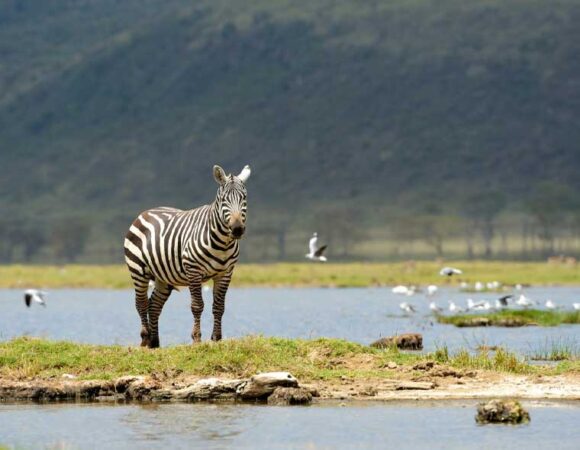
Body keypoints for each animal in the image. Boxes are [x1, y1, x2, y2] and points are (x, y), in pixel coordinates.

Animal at [124, 165, 251, 348]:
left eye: (244, 198)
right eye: (223, 200)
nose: (237, 229)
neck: (222, 244)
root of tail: (146, 212)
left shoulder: (225, 273)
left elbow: (219, 306)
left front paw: (216, 339)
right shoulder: (193, 270)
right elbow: (197, 305)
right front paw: (197, 339)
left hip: (163, 277)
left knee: (154, 305)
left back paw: (155, 343)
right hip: (138, 270)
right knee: (141, 303)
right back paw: (145, 339)